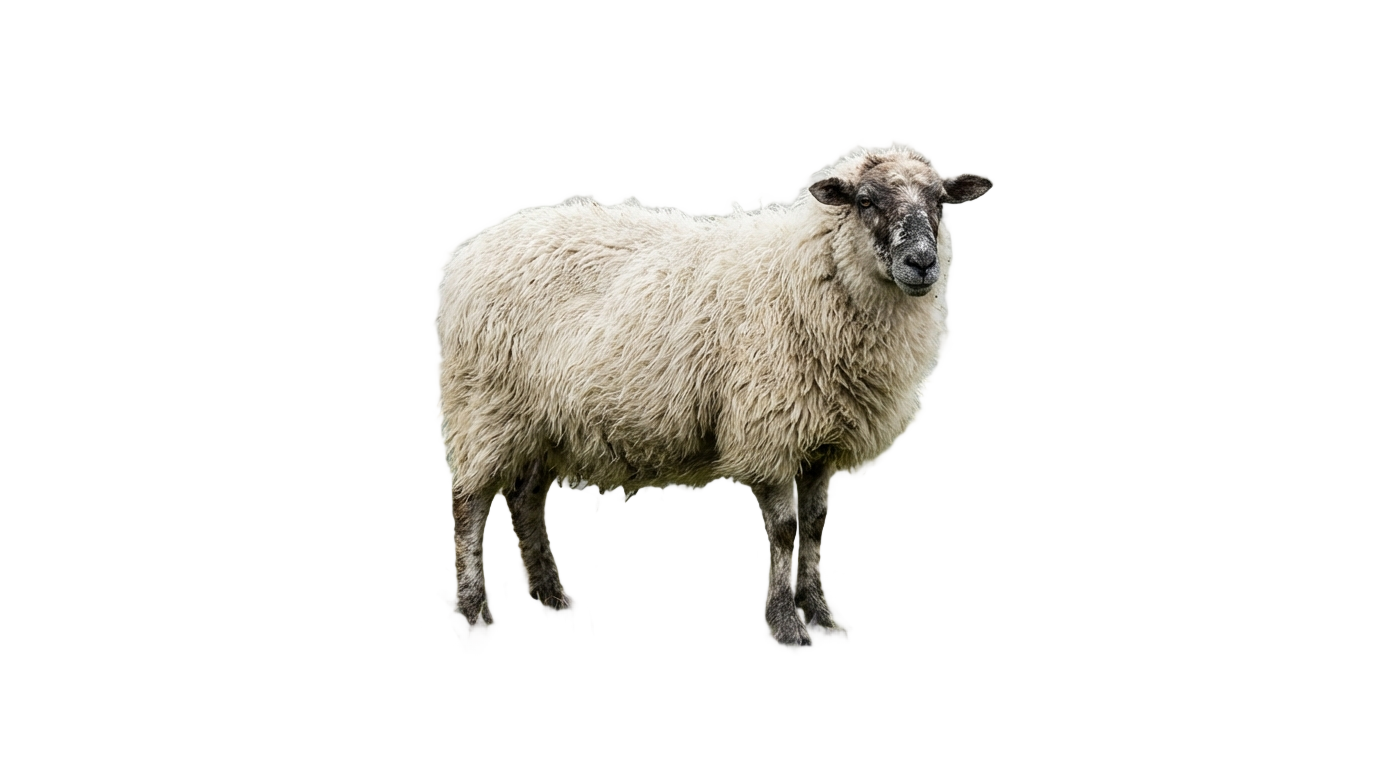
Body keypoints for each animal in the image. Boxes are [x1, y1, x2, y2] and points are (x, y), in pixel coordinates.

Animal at [439, 149, 992, 647]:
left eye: (940, 201)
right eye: (864, 200)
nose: (922, 263)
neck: (807, 276)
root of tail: (472, 253)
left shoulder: (818, 438)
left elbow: (814, 526)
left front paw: (820, 615)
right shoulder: (769, 427)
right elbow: (786, 530)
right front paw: (788, 628)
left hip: (539, 419)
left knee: (525, 499)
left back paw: (550, 596)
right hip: (486, 405)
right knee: (470, 503)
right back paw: (473, 611)